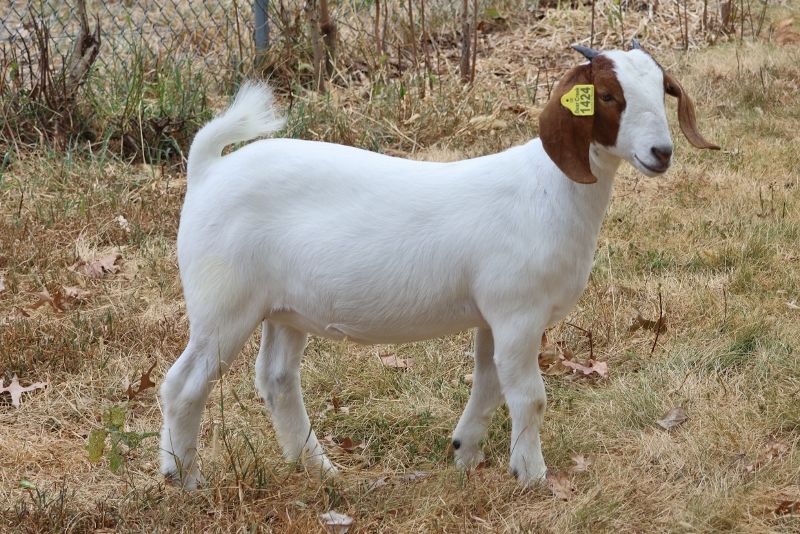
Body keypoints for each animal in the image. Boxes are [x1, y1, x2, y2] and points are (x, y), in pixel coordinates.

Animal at [160, 42, 719, 489]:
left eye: (663, 89)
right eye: (606, 96)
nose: (661, 152)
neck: (548, 190)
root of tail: (207, 170)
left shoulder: (493, 317)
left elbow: (489, 385)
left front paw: (466, 454)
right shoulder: (518, 312)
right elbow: (529, 396)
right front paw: (533, 476)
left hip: (284, 309)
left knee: (276, 380)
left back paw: (319, 469)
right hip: (223, 303)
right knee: (183, 384)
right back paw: (184, 478)